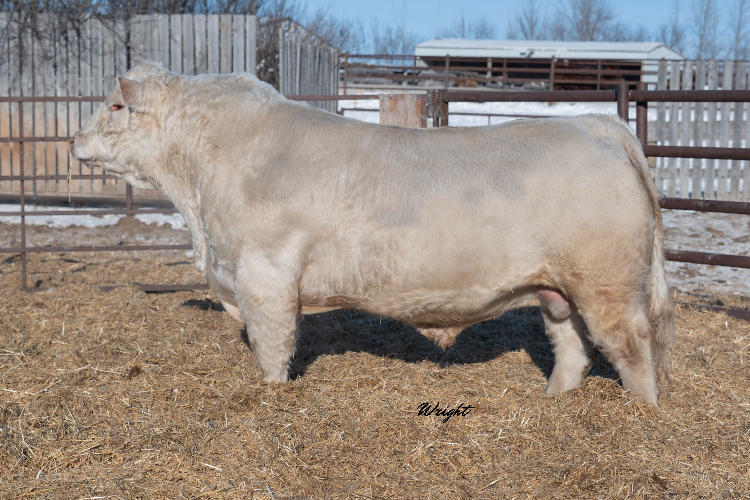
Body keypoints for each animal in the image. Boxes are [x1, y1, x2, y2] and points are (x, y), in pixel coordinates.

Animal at [70, 63, 674, 404]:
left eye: (116, 104)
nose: (74, 140)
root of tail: (596, 124)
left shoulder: (265, 272)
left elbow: (272, 345)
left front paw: (270, 396)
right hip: (557, 288)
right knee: (572, 348)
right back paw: (552, 403)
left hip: (607, 284)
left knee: (631, 347)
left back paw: (644, 413)